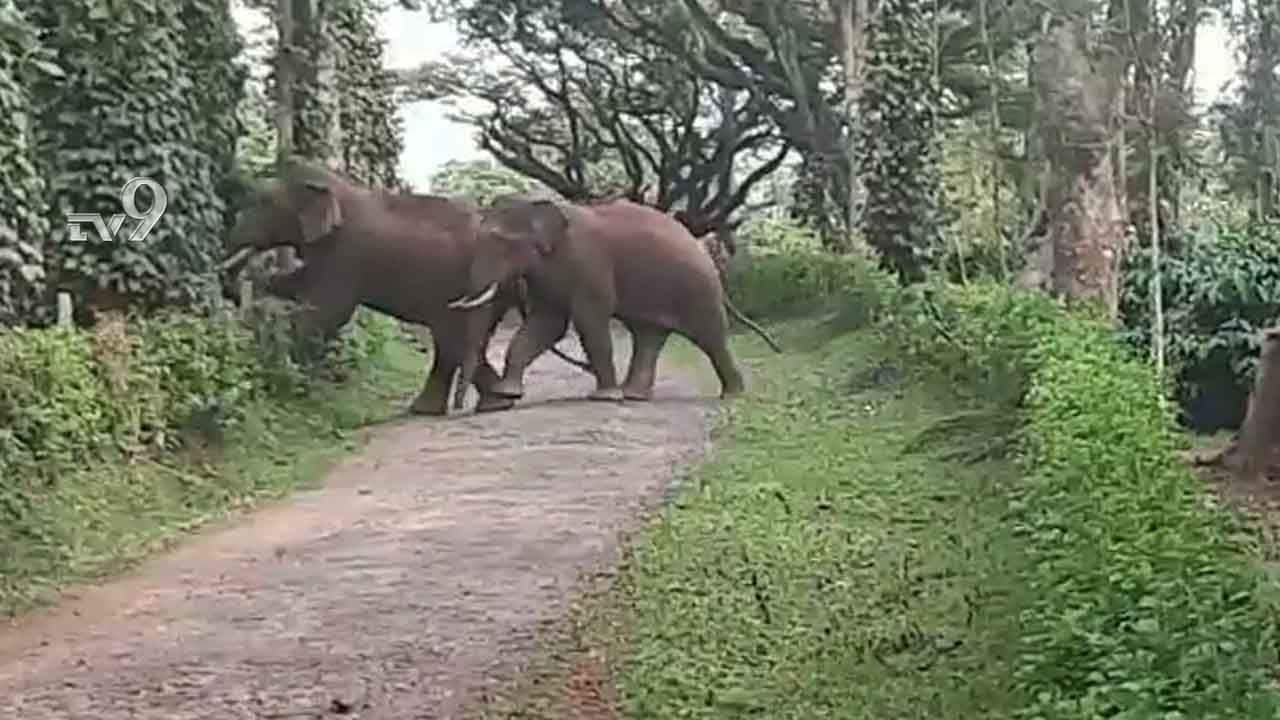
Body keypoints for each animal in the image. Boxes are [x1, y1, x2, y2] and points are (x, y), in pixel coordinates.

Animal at [221, 156, 588, 415]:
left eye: (264, 202)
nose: (232, 279)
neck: (336, 188)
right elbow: (301, 284)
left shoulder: (349, 252)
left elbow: (327, 311)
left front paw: (275, 367)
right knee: (455, 341)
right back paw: (487, 402)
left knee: (453, 339)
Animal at [445, 196, 783, 404]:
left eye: (499, 241)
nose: (460, 407)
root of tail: (701, 246)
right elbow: (547, 324)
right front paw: (509, 394)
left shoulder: (589, 264)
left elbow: (589, 320)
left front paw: (604, 398)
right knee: (648, 335)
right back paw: (634, 396)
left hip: (698, 287)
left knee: (710, 336)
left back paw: (733, 396)